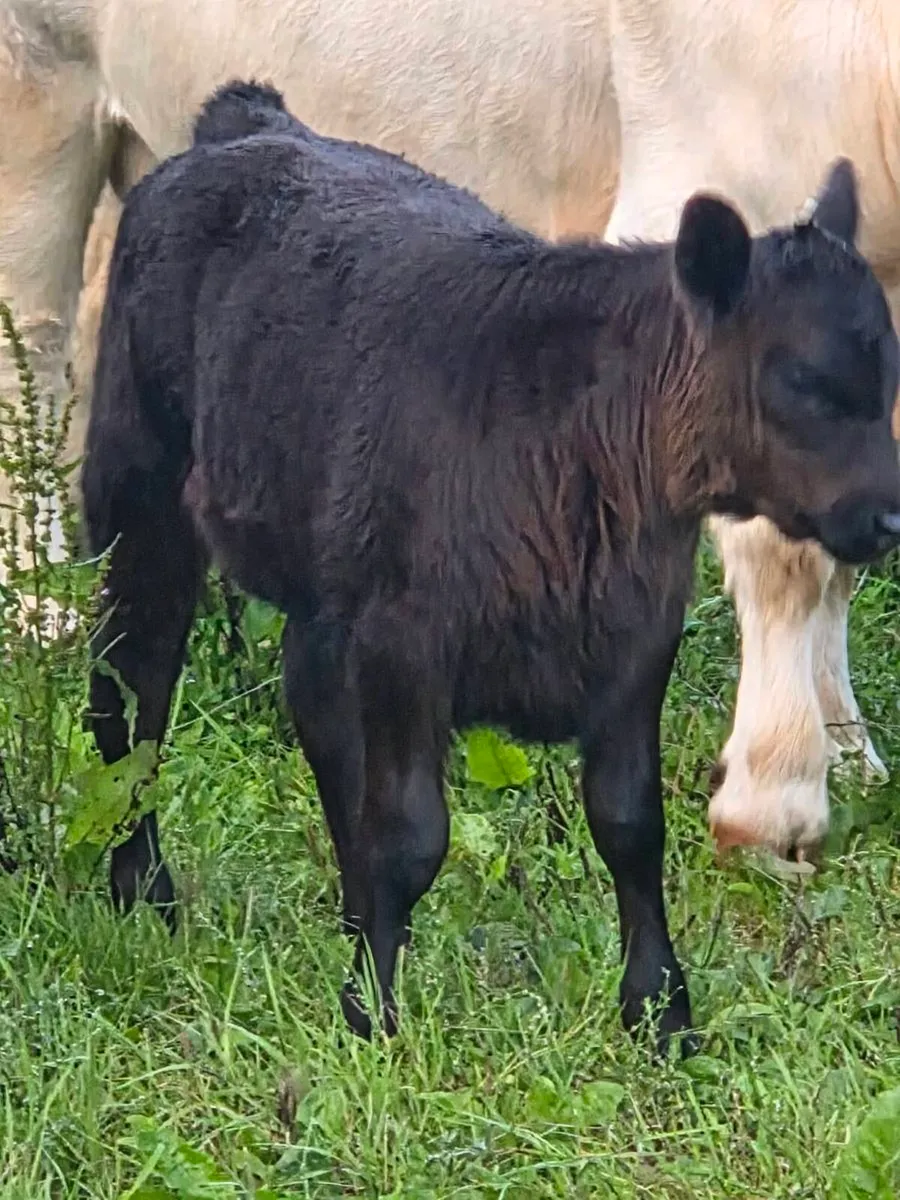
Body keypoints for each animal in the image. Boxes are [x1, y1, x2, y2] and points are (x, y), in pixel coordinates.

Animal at [81, 82, 900, 1053]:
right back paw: (141, 887)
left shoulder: (635, 638)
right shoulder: (405, 645)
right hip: (138, 491)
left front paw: (660, 1010)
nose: (890, 514)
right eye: (804, 381)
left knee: (315, 719)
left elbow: (629, 822)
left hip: (325, 589)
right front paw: (372, 1015)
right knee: (131, 689)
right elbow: (409, 837)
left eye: (888, 375)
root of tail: (250, 123)